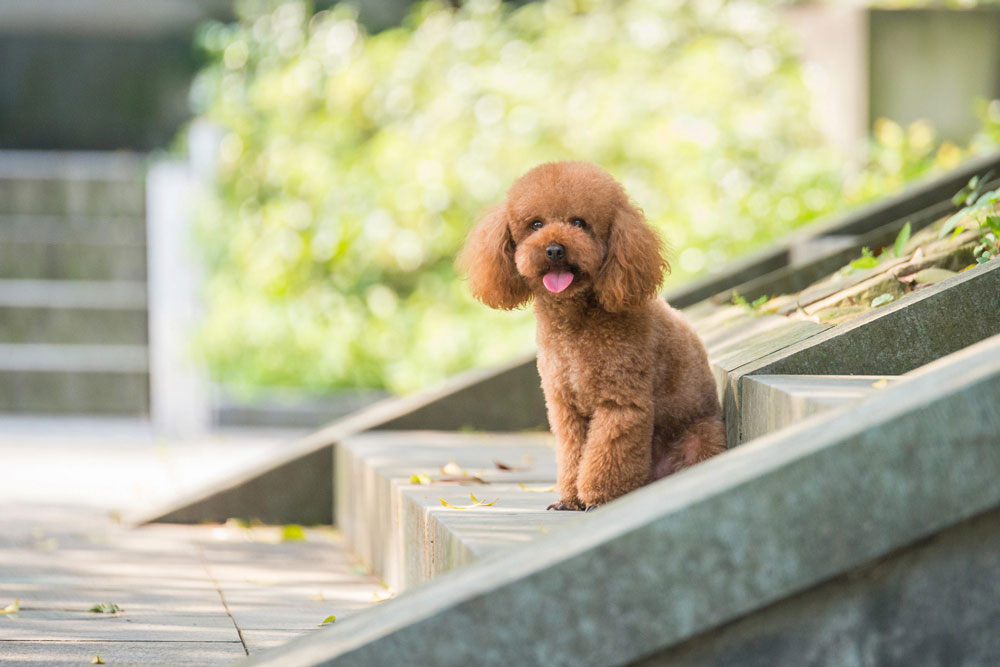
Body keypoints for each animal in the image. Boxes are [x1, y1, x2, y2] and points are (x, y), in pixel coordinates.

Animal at [458, 162, 724, 512]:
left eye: (579, 223)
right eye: (536, 224)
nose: (554, 249)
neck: (574, 325)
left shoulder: (620, 402)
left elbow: (606, 452)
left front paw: (598, 497)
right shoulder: (565, 406)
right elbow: (574, 454)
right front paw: (570, 498)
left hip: (698, 439)